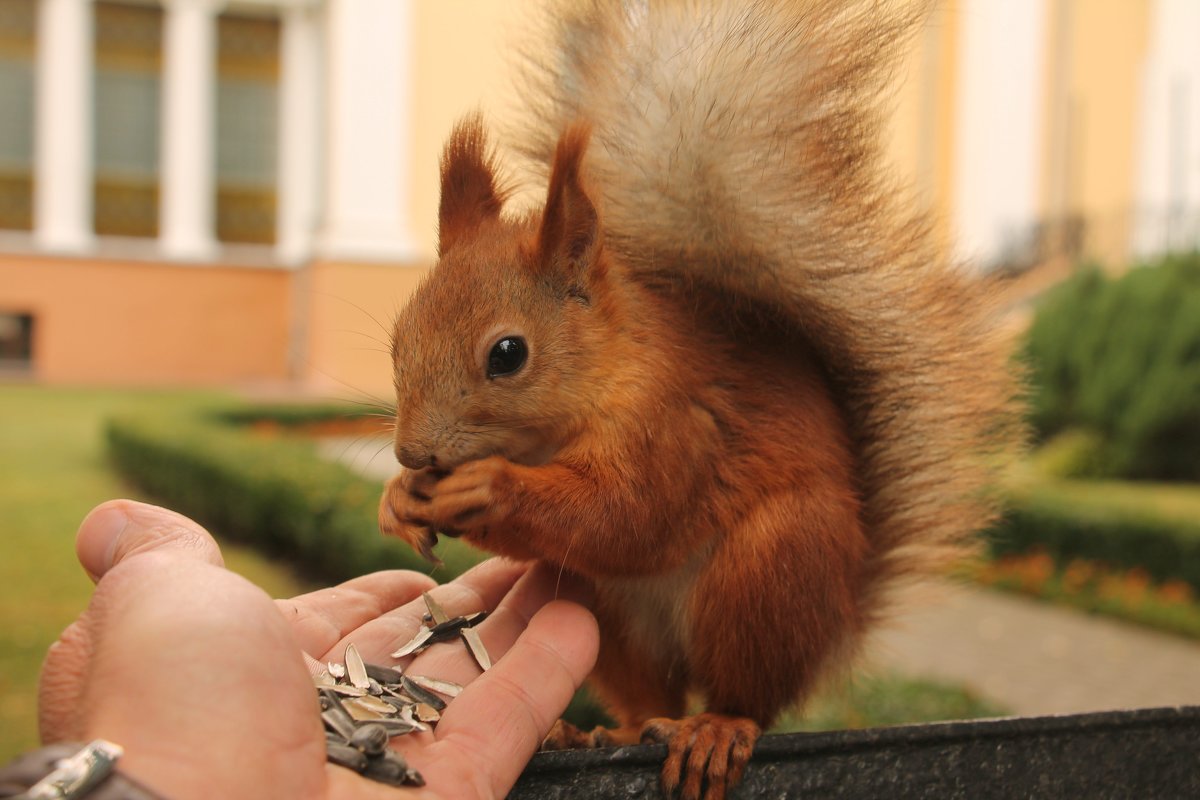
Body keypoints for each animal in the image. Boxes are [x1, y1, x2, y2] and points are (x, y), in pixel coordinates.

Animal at [379, 1, 1017, 800]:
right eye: (398, 336)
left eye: (507, 354)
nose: (413, 452)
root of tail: (839, 615)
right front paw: (399, 501)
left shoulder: (675, 423)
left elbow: (628, 515)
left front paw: (485, 488)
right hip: (598, 605)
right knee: (652, 696)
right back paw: (600, 730)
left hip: (771, 569)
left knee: (745, 695)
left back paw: (715, 730)